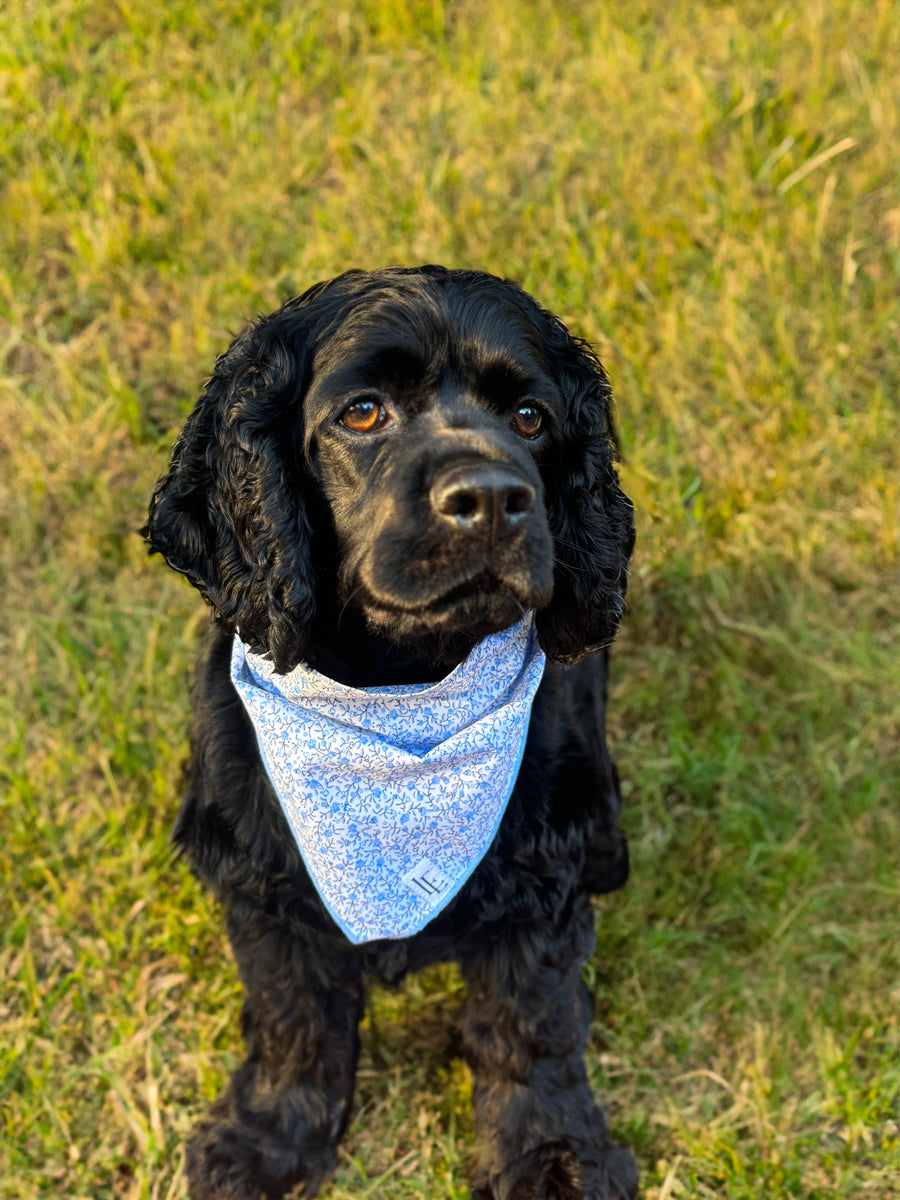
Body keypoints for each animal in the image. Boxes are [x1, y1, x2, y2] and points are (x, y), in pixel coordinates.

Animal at [148, 270, 638, 1200]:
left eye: (532, 417)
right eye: (364, 412)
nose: (493, 499)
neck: (402, 696)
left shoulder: (541, 873)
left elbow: (531, 1026)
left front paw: (552, 1155)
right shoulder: (264, 881)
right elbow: (294, 1020)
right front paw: (268, 1139)